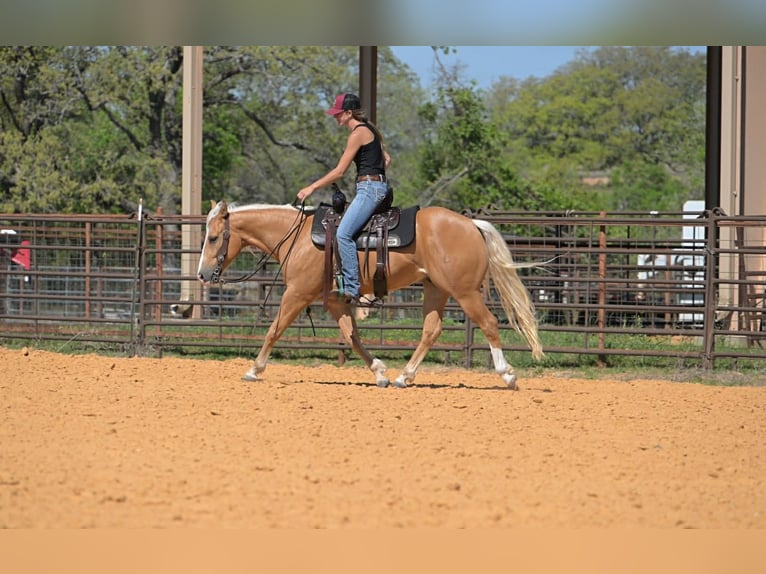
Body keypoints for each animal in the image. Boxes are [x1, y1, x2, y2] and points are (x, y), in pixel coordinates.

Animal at [197, 200, 544, 389]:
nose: (202, 274)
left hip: (465, 292)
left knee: (489, 323)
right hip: (436, 289)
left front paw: (254, 369)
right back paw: (405, 376)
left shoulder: (296, 294)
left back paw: (507, 375)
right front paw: (379, 372)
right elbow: (352, 337)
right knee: (431, 331)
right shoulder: (335, 300)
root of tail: (472, 225)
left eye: (213, 238)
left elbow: (274, 330)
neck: (298, 237)